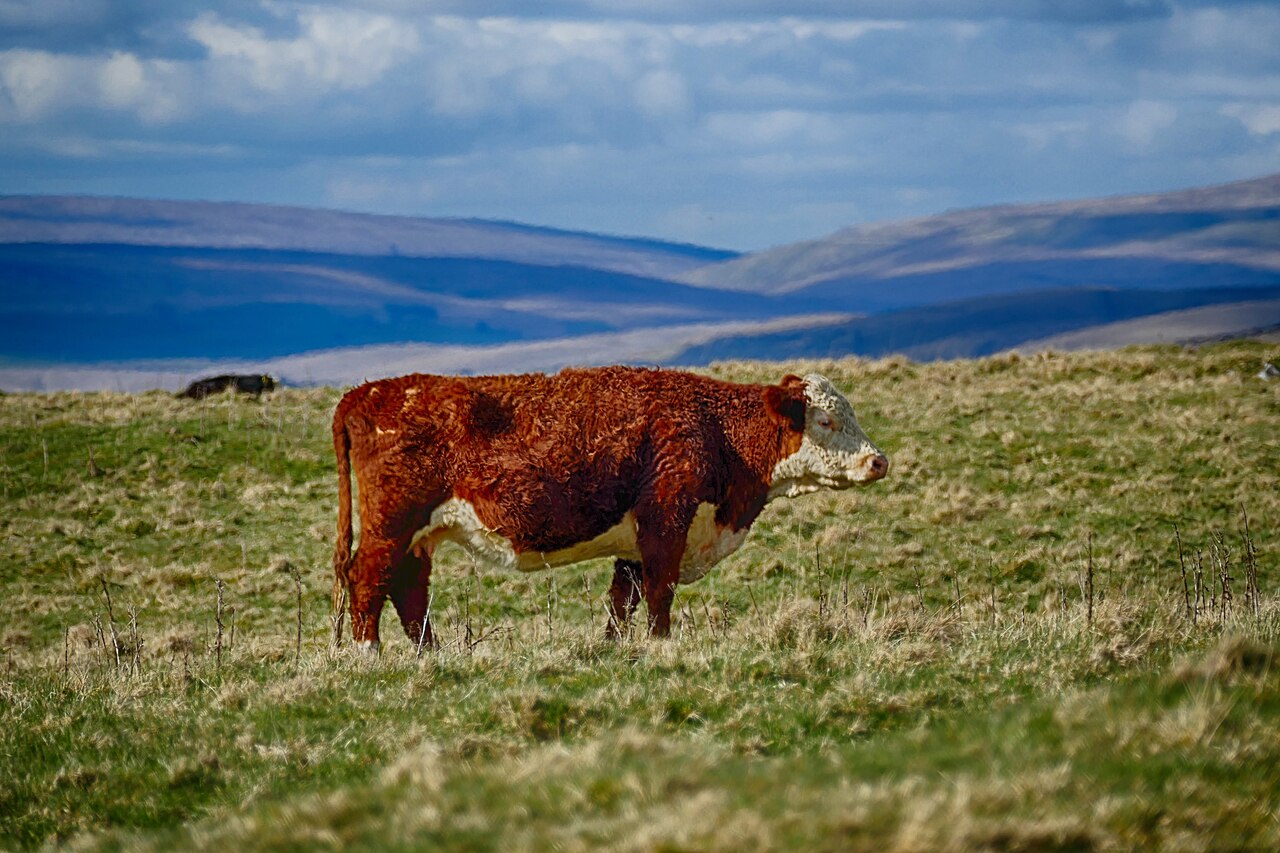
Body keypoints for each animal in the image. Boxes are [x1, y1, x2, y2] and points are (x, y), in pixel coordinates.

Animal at [331, 366, 888, 652]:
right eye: (825, 421)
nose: (878, 460)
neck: (714, 427)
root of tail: (368, 391)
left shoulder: (637, 541)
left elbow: (625, 599)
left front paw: (615, 649)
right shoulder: (667, 518)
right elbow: (660, 592)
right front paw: (662, 646)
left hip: (417, 534)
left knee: (408, 590)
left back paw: (432, 654)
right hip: (391, 524)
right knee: (367, 580)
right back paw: (369, 654)